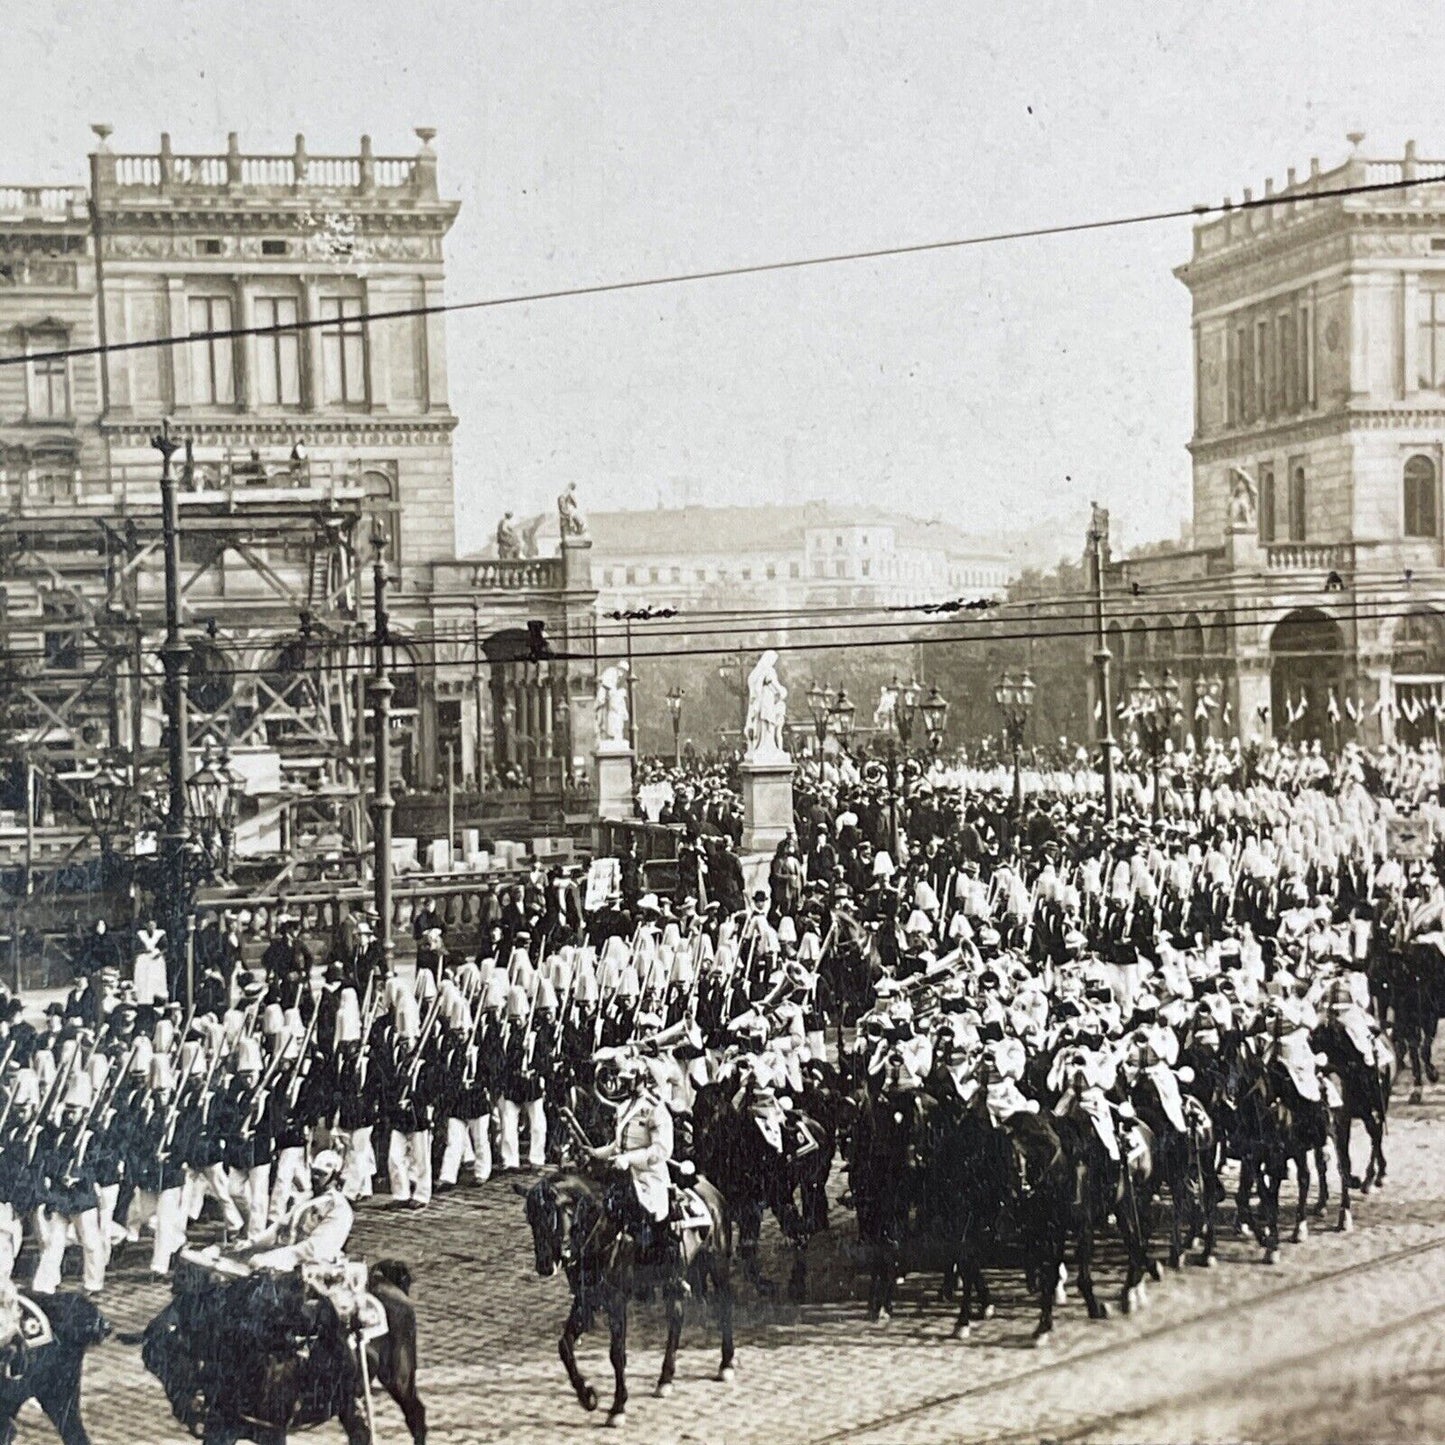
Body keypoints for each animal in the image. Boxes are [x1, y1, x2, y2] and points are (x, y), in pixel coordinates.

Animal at [130, 1254, 424, 1445]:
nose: (187, 1411)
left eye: (179, 1352)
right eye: (154, 1365)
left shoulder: (273, 1432)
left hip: (399, 1377)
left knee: (416, 1415)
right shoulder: (222, 1429)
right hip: (351, 1399)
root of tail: (386, 1281)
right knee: (360, 1433)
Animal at [517, 1167, 734, 1427]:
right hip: (675, 1281)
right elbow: (565, 1345)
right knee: (676, 1320)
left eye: (551, 1216)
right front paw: (587, 1395)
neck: (603, 1234)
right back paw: (665, 1379)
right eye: (530, 1218)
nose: (544, 1266)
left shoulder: (616, 1301)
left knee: (724, 1307)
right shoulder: (586, 1300)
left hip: (718, 1265)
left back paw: (726, 1363)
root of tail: (708, 1188)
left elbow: (617, 1354)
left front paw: (617, 1407)